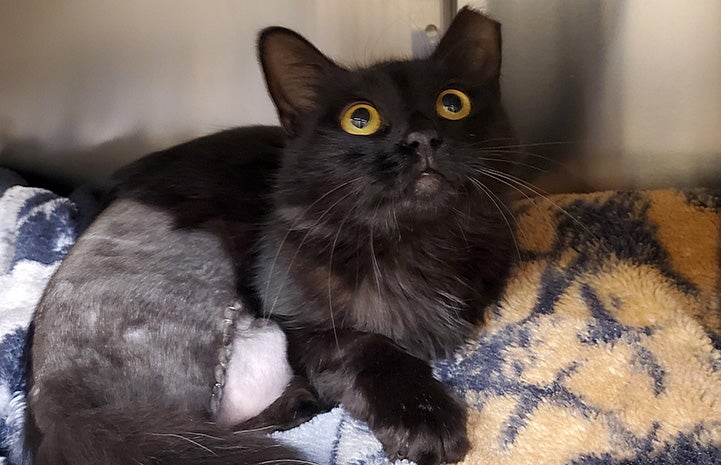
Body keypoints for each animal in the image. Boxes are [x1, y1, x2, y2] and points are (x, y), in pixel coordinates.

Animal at [23, 7, 516, 464]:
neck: (415, 243)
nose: (421, 139)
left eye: (453, 103)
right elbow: (371, 346)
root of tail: (61, 409)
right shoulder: (304, 328)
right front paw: (424, 420)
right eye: (360, 119)